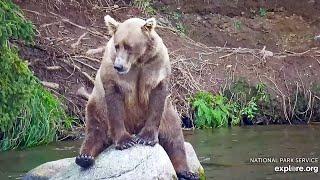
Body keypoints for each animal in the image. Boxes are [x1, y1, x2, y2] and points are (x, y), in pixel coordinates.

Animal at [75, 15, 199, 180]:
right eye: (117, 46)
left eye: (129, 46)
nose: (119, 66)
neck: (138, 61)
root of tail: (134, 128)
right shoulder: (113, 76)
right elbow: (114, 105)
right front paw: (125, 141)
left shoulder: (156, 65)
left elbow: (157, 99)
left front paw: (146, 138)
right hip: (97, 105)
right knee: (95, 129)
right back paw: (85, 157)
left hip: (168, 113)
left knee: (175, 136)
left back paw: (187, 172)